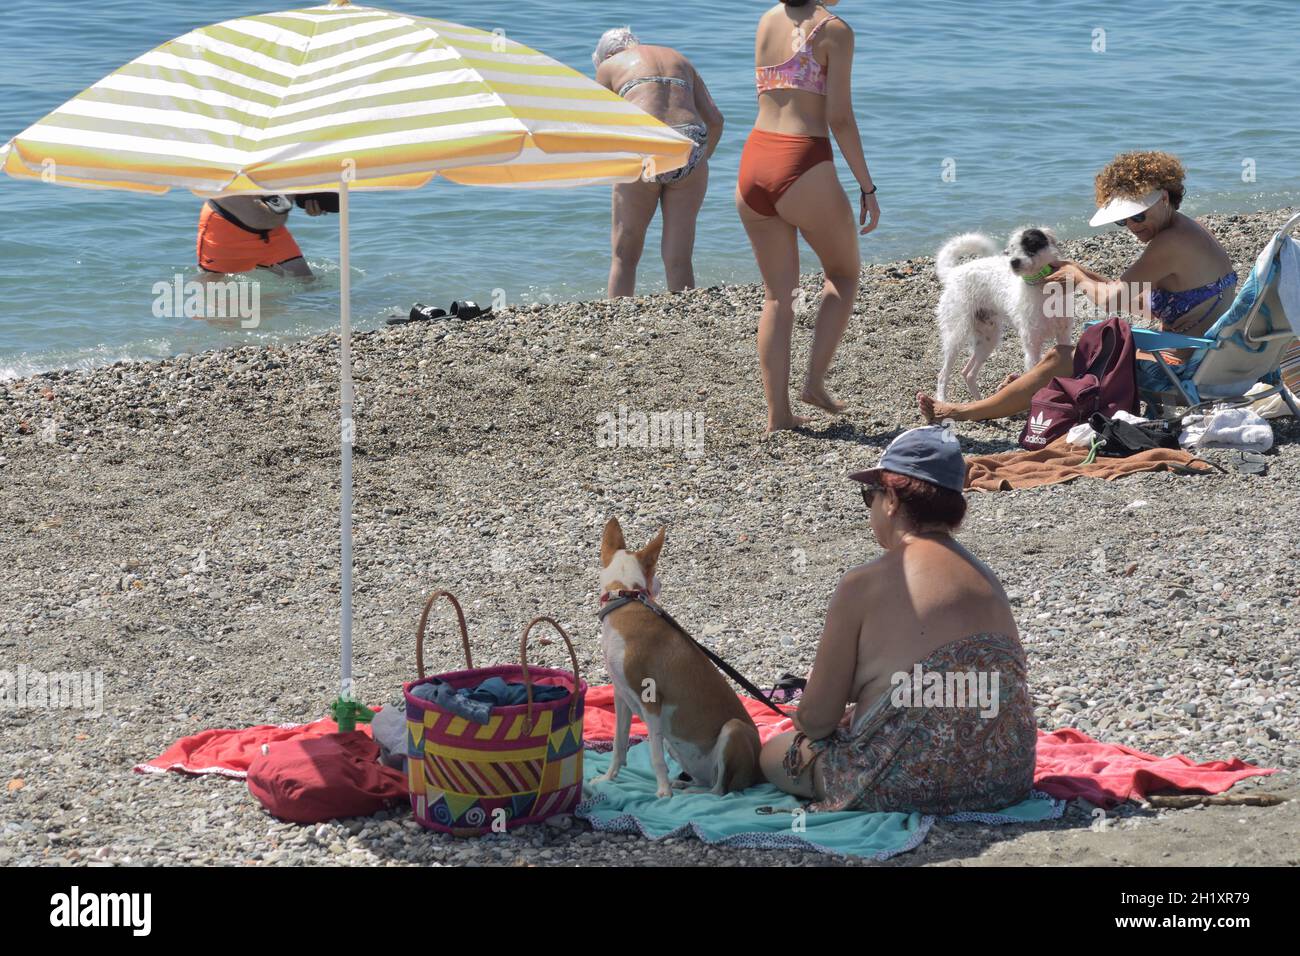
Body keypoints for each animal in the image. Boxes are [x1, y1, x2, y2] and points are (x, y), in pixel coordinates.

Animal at [592, 520, 759, 796]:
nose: (660, 583)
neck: (625, 601)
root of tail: (759, 773)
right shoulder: (621, 697)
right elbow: (618, 744)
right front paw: (607, 778)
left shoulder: (650, 701)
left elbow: (655, 756)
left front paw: (663, 793)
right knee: (708, 782)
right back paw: (683, 784)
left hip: (733, 729)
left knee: (720, 791)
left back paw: (688, 792)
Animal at [935, 227, 1066, 400]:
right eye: (1011, 248)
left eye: (1031, 244)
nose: (1013, 262)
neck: (1040, 286)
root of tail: (953, 272)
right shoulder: (1032, 346)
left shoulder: (1064, 336)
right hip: (955, 336)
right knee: (943, 375)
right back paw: (942, 400)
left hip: (987, 338)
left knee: (968, 373)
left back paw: (978, 402)